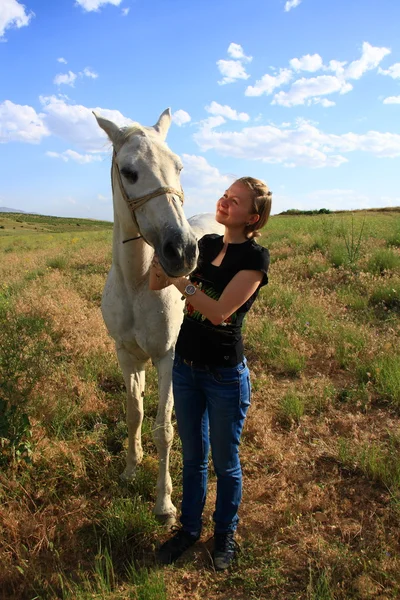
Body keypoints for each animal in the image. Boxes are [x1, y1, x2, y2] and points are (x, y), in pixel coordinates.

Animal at [94, 109, 223, 524]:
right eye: (129, 171)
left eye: (179, 167)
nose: (181, 251)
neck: (137, 283)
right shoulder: (125, 354)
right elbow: (134, 414)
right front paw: (130, 469)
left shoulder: (167, 357)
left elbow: (163, 429)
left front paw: (164, 504)